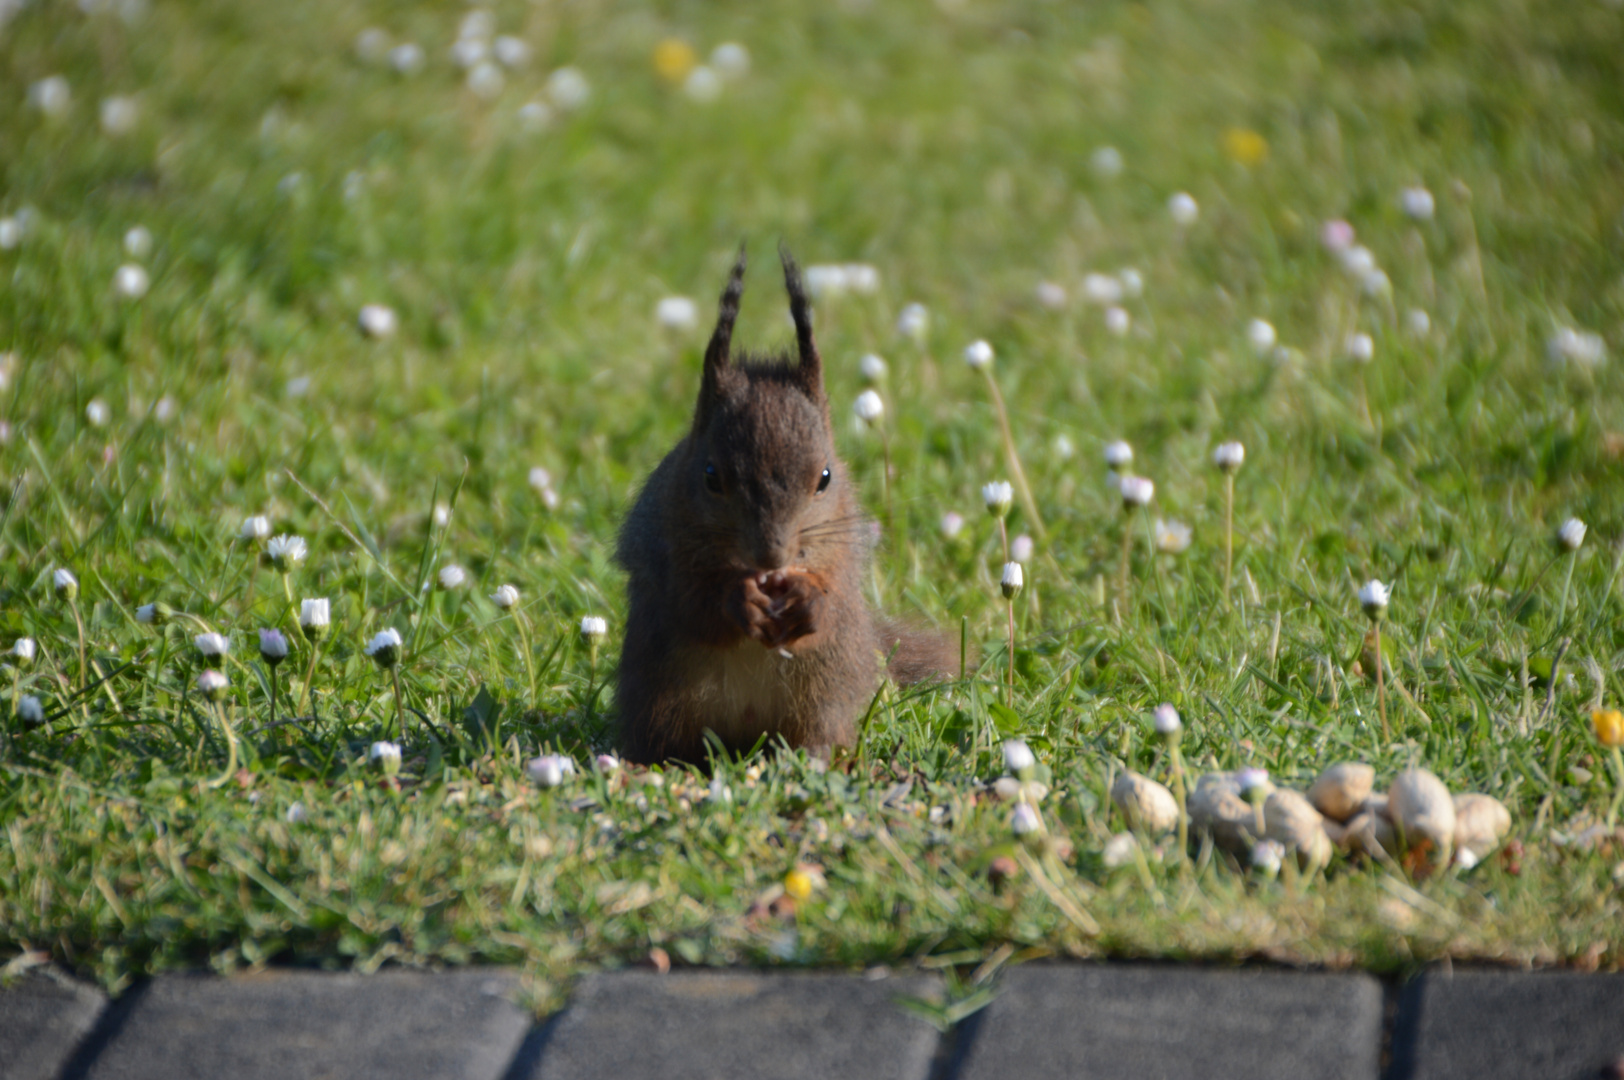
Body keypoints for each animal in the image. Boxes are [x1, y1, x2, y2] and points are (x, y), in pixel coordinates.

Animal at [613, 246, 954, 766]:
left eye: (826, 477)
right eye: (710, 476)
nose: (771, 556)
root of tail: (747, 734)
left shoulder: (843, 552)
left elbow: (833, 597)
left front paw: (810, 601)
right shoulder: (664, 554)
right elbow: (693, 604)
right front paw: (739, 600)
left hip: (825, 691)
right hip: (662, 694)